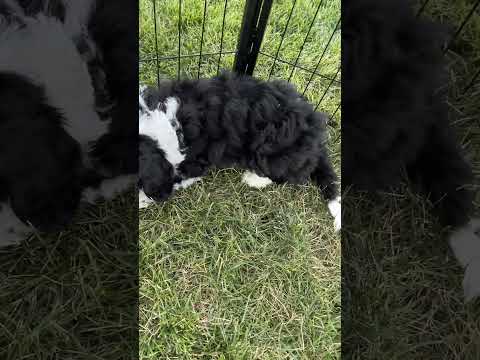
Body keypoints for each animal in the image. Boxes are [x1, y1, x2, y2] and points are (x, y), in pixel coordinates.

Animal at [139, 72, 342, 231]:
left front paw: (142, 199)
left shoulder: (192, 164)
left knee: (284, 175)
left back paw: (253, 179)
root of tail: (316, 137)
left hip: (270, 151)